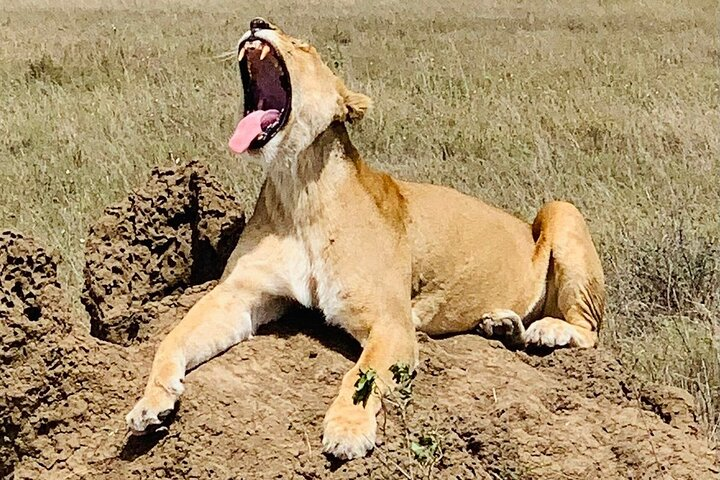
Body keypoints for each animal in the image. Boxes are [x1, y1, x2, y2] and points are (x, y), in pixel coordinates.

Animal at [126, 18, 605, 460]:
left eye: (304, 46)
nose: (257, 23)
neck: (297, 188)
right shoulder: (240, 295)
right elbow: (173, 336)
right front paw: (151, 401)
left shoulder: (393, 322)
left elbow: (362, 375)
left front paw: (348, 431)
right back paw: (501, 325)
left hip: (562, 210)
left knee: (589, 331)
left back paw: (548, 331)